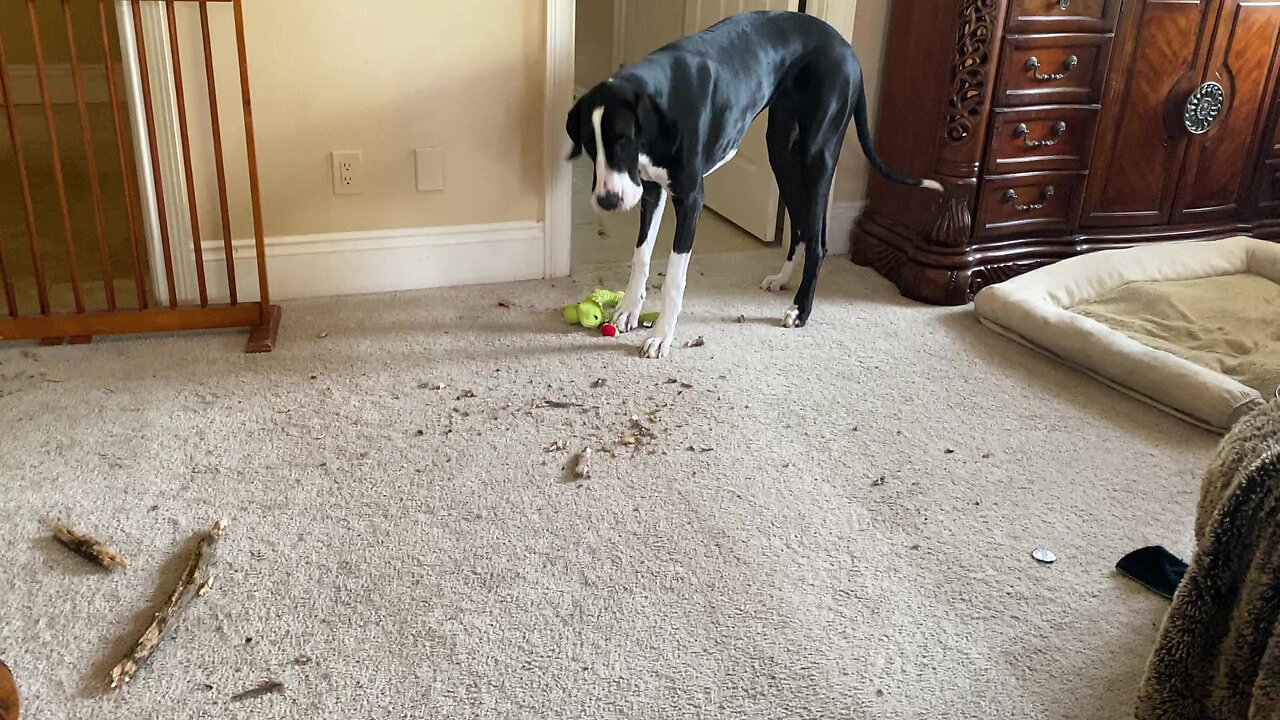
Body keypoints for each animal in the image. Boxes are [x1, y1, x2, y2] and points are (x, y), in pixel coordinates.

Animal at [568, 9, 942, 356]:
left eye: (624, 141)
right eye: (590, 144)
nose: (607, 201)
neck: (663, 100)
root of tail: (846, 48)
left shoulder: (690, 199)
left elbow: (674, 277)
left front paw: (661, 336)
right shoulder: (651, 191)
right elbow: (641, 256)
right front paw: (629, 309)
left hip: (816, 156)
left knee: (819, 240)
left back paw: (800, 310)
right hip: (781, 151)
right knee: (802, 226)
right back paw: (783, 279)